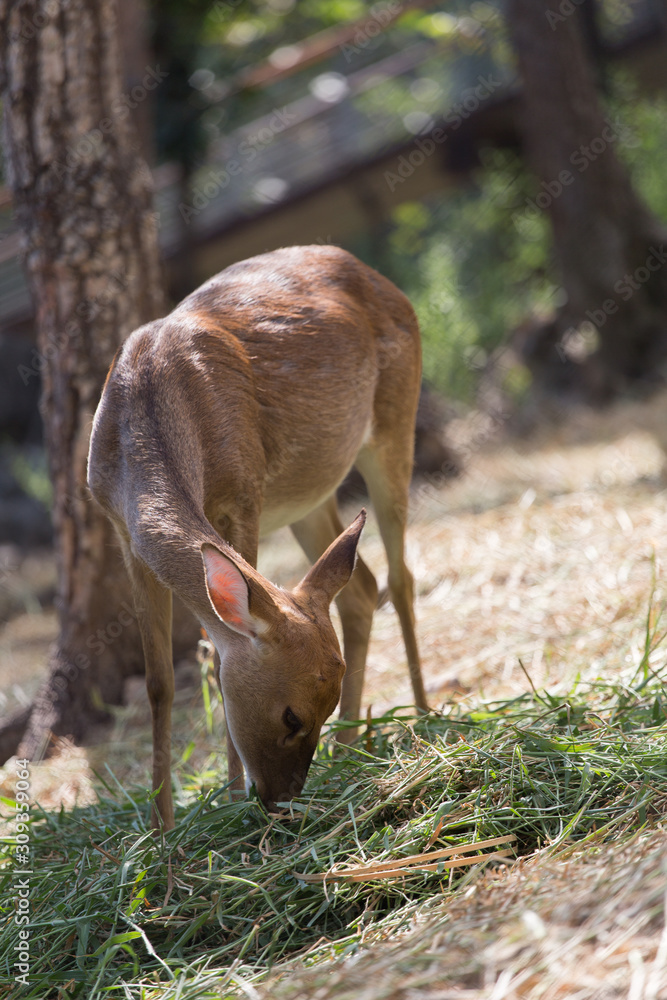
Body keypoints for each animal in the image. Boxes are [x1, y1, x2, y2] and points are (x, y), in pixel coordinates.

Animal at [87, 244, 427, 830]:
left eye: (315, 711)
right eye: (292, 715)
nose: (281, 801)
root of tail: (377, 274)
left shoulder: (245, 496)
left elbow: (216, 653)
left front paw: (227, 800)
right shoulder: (122, 531)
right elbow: (159, 683)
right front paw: (159, 829)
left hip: (394, 421)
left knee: (401, 576)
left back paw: (426, 718)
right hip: (309, 497)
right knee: (362, 587)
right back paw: (353, 748)